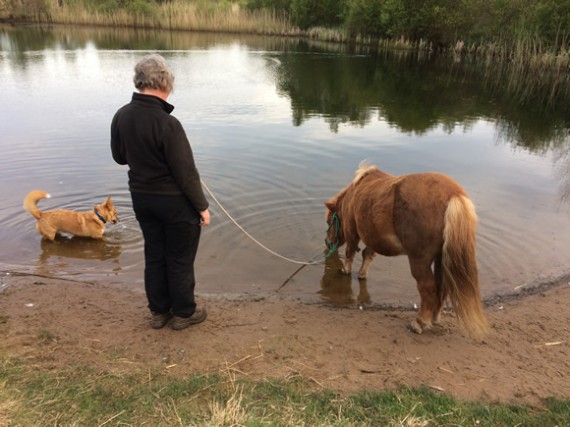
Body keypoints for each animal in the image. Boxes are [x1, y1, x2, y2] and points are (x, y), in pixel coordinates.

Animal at [324, 164, 488, 338]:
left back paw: (420, 322)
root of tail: (453, 195)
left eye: (329, 221)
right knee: (441, 286)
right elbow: (367, 254)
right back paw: (434, 317)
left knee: (428, 287)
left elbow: (350, 252)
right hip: (441, 258)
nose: (327, 243)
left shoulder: (351, 231)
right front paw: (362, 274)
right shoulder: (373, 236)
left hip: (419, 260)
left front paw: (345, 270)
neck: (355, 191)